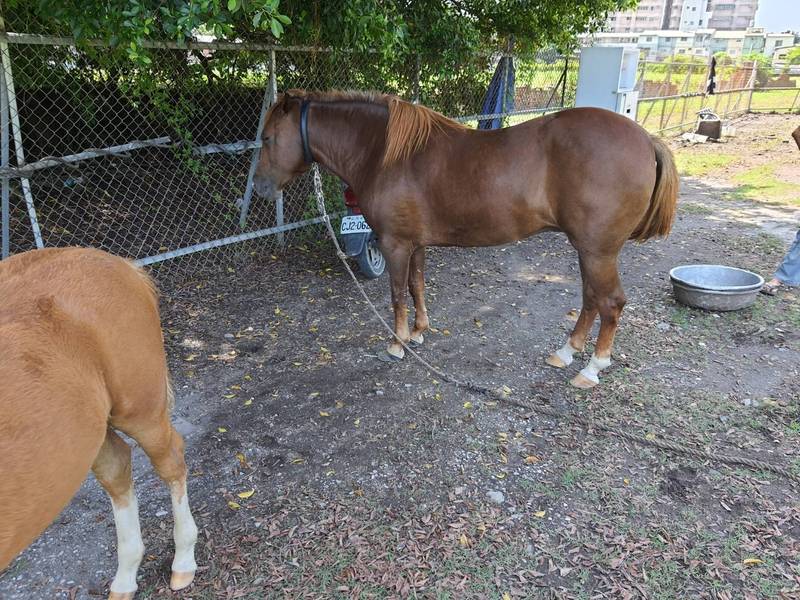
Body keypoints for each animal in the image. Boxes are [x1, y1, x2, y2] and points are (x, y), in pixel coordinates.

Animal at [0, 247, 198, 596]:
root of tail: (122, 265)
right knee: (118, 468)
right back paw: (126, 577)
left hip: (140, 411)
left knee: (170, 459)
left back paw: (183, 559)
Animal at [253, 90, 680, 390]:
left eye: (269, 138)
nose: (258, 188)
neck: (384, 152)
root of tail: (645, 139)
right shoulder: (416, 243)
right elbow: (417, 285)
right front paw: (420, 332)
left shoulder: (395, 244)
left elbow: (396, 294)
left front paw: (397, 343)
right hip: (589, 250)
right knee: (591, 298)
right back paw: (566, 352)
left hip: (598, 251)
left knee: (610, 303)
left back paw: (591, 368)